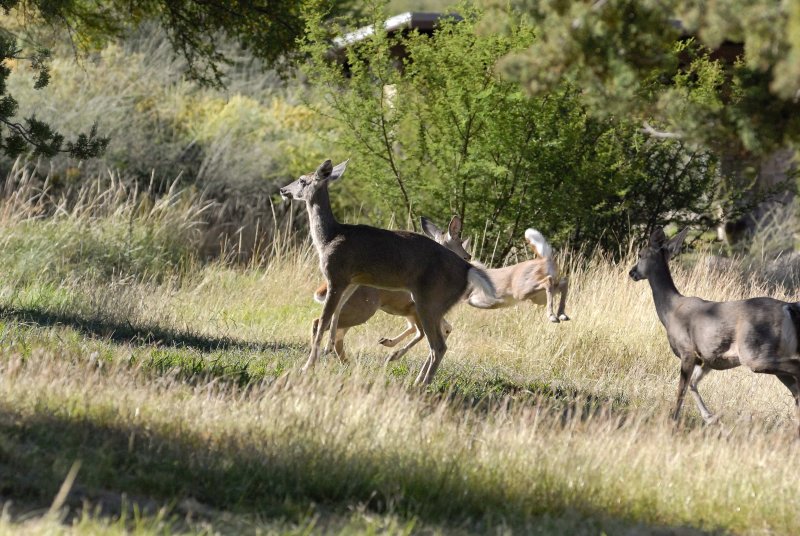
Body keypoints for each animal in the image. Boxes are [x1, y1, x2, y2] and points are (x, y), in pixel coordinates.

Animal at [308, 216, 468, 362]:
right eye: (460, 242)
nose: (468, 256)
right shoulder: (416, 308)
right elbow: (424, 332)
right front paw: (393, 354)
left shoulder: (411, 311)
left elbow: (429, 329)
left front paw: (388, 344)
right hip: (362, 309)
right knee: (320, 323)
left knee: (335, 333)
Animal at [632, 226, 800, 436]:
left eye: (640, 254)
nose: (632, 272)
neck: (670, 311)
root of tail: (788, 307)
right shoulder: (708, 359)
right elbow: (693, 385)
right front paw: (711, 418)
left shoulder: (687, 351)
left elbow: (681, 390)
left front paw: (672, 423)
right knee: (796, 389)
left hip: (755, 352)